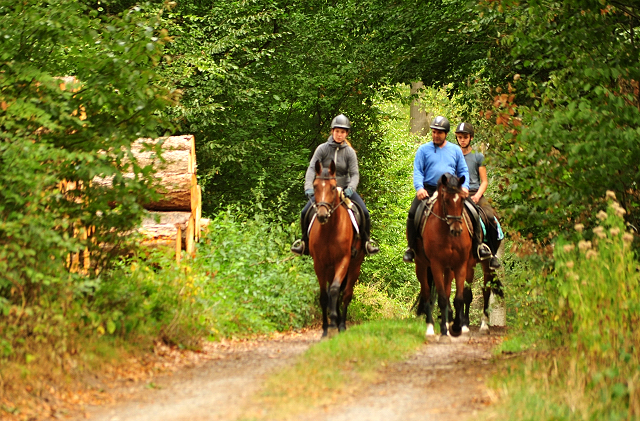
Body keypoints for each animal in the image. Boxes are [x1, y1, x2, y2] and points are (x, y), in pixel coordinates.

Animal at [308, 159, 364, 336]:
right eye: (315, 186)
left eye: (333, 187)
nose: (322, 215)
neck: (329, 230)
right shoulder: (319, 264)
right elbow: (324, 295)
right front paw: (326, 328)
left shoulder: (343, 261)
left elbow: (334, 290)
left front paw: (334, 322)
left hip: (354, 266)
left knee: (345, 294)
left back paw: (342, 324)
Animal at [416, 172, 470, 336]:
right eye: (446, 200)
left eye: (462, 199)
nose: (457, 230)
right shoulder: (436, 265)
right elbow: (441, 299)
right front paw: (445, 330)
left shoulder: (460, 265)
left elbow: (457, 298)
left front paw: (456, 326)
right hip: (421, 266)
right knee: (427, 295)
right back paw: (430, 327)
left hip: (449, 270)